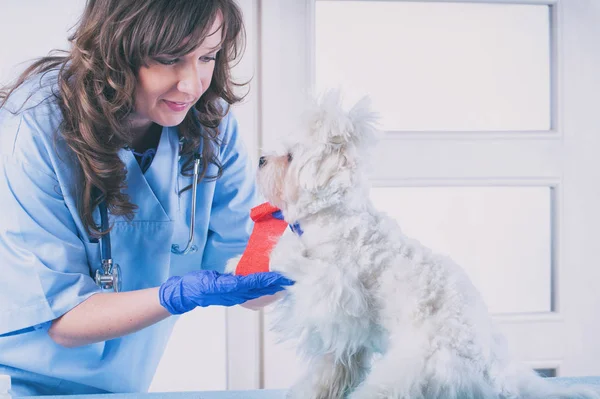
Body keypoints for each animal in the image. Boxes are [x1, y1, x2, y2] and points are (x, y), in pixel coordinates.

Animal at [231, 92, 600, 398]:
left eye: (290, 157)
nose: (261, 160)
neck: (333, 212)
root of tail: (497, 375)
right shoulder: (347, 331)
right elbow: (333, 366)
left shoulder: (335, 292)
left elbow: (306, 272)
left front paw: (283, 253)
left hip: (413, 371)